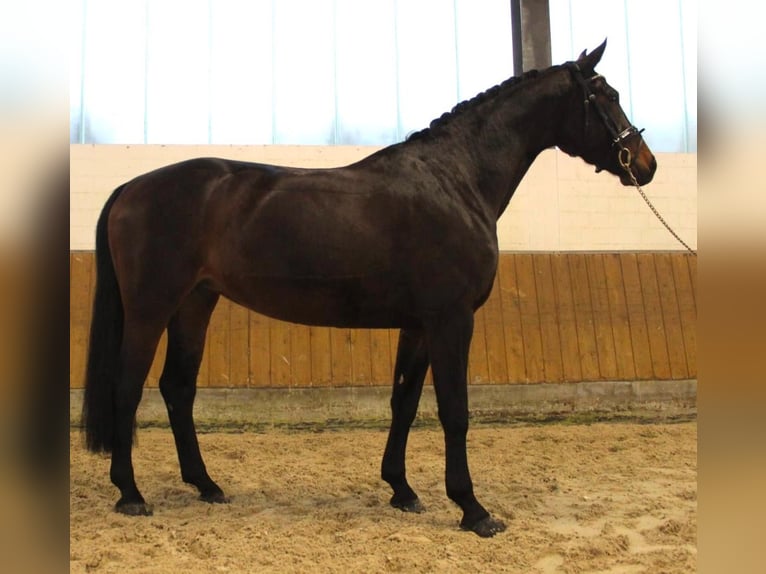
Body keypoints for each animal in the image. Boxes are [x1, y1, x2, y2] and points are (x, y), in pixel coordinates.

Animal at [81, 40, 656, 537]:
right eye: (607, 96)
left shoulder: (419, 325)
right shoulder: (452, 320)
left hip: (195, 304)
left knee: (177, 388)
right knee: (126, 387)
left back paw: (206, 485)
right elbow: (455, 411)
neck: (456, 180)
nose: (645, 164)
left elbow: (404, 401)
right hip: (150, 308)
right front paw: (473, 509)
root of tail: (132, 187)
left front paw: (402, 490)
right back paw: (131, 494)